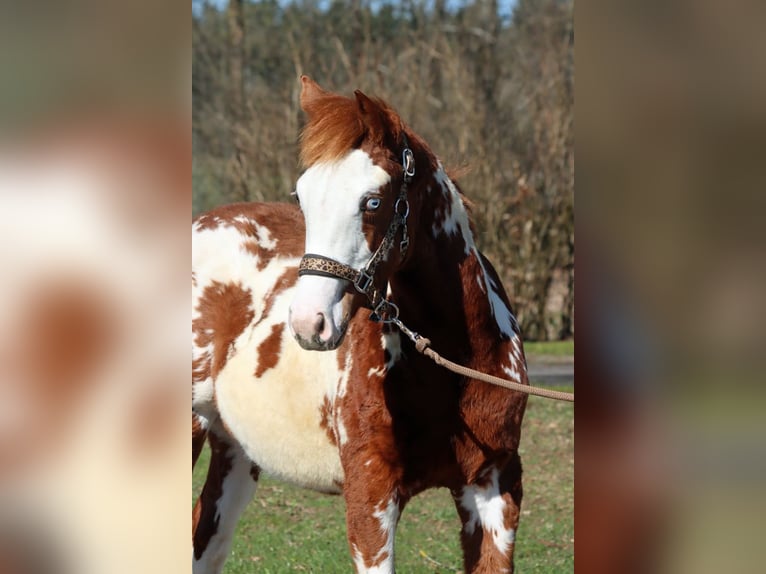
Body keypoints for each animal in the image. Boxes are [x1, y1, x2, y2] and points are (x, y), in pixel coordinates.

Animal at [192, 76, 529, 573]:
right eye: (301, 197)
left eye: (373, 201)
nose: (308, 323)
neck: (451, 368)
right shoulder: (371, 496)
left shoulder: (495, 489)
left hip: (232, 448)